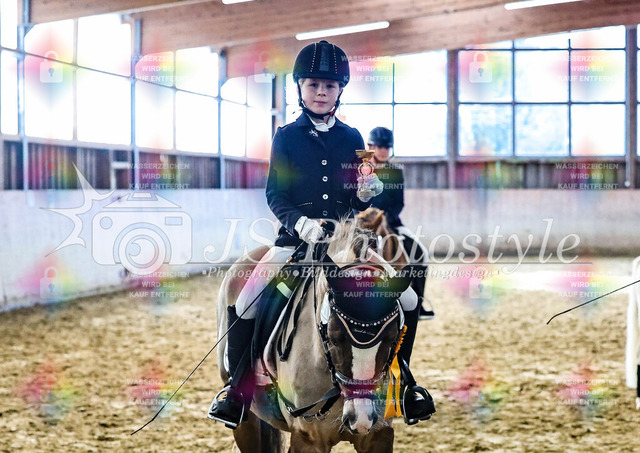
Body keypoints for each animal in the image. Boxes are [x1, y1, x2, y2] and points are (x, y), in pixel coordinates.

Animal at [215, 219, 414, 452]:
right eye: (334, 338)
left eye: (393, 340)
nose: (361, 419)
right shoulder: (308, 439)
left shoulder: (378, 435)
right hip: (246, 422)